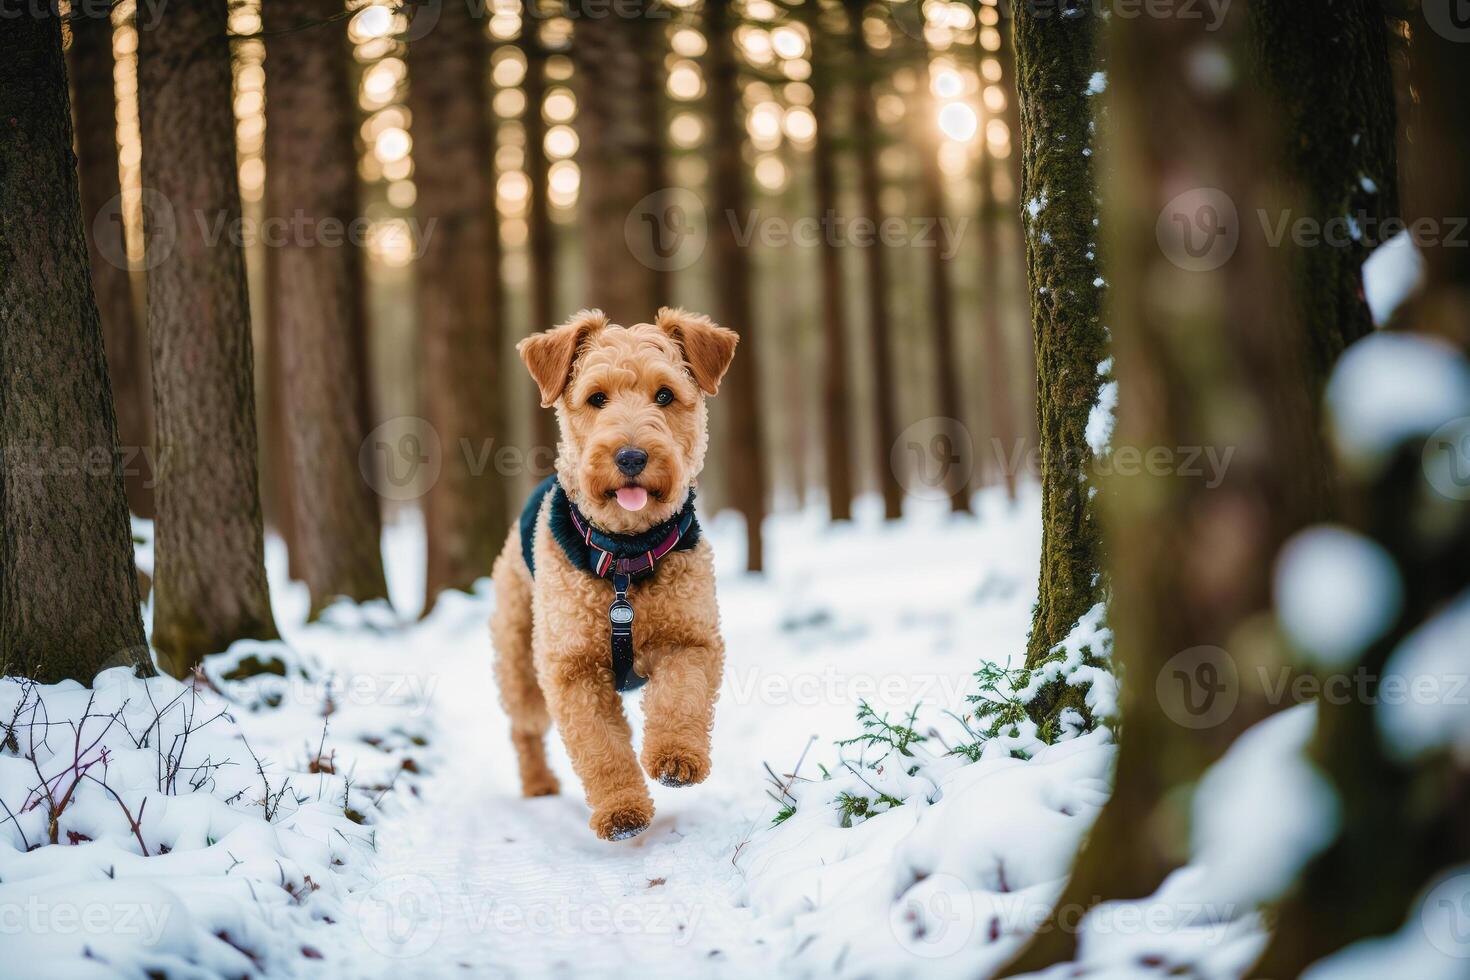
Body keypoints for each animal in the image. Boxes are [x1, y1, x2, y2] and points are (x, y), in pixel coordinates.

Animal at [490, 308, 740, 846]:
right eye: (596, 398)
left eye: (664, 395)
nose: (630, 457)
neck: (625, 556)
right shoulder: (572, 671)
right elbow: (601, 748)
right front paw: (622, 812)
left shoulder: (691, 640)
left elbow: (679, 700)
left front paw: (676, 759)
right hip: (522, 666)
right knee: (523, 728)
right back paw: (537, 783)